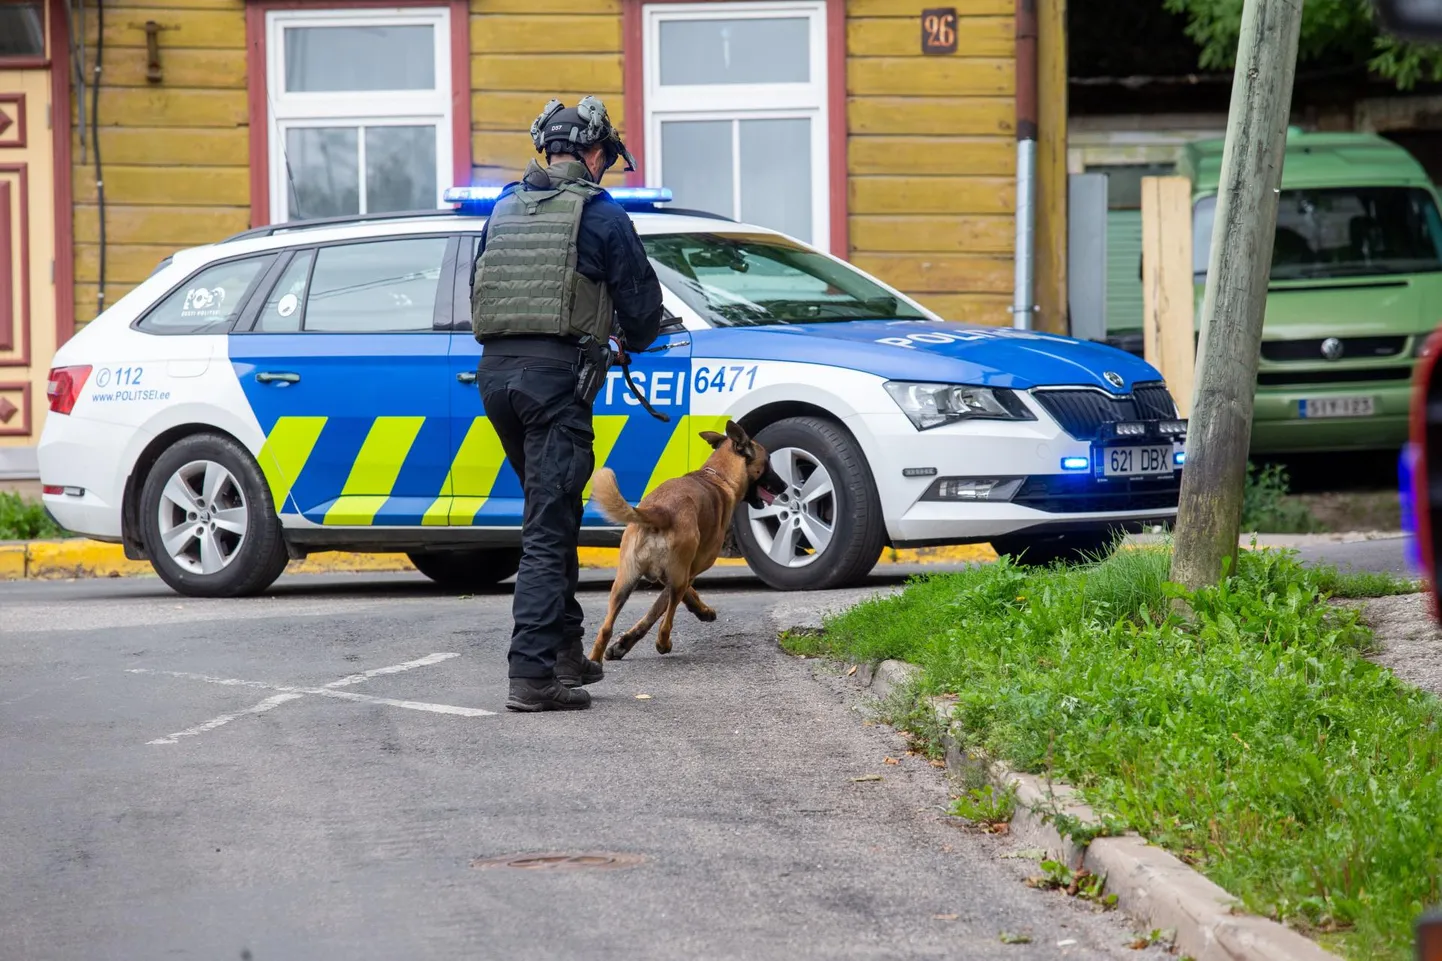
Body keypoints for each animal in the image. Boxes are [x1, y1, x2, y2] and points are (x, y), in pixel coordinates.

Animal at [588, 418, 784, 657]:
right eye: (769, 462)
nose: (785, 486)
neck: (719, 477)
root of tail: (659, 510)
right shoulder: (691, 570)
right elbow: (659, 609)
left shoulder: (675, 574)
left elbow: (679, 597)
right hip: (674, 577)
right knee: (666, 622)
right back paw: (663, 643)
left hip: (624, 582)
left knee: (606, 628)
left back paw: (596, 659)